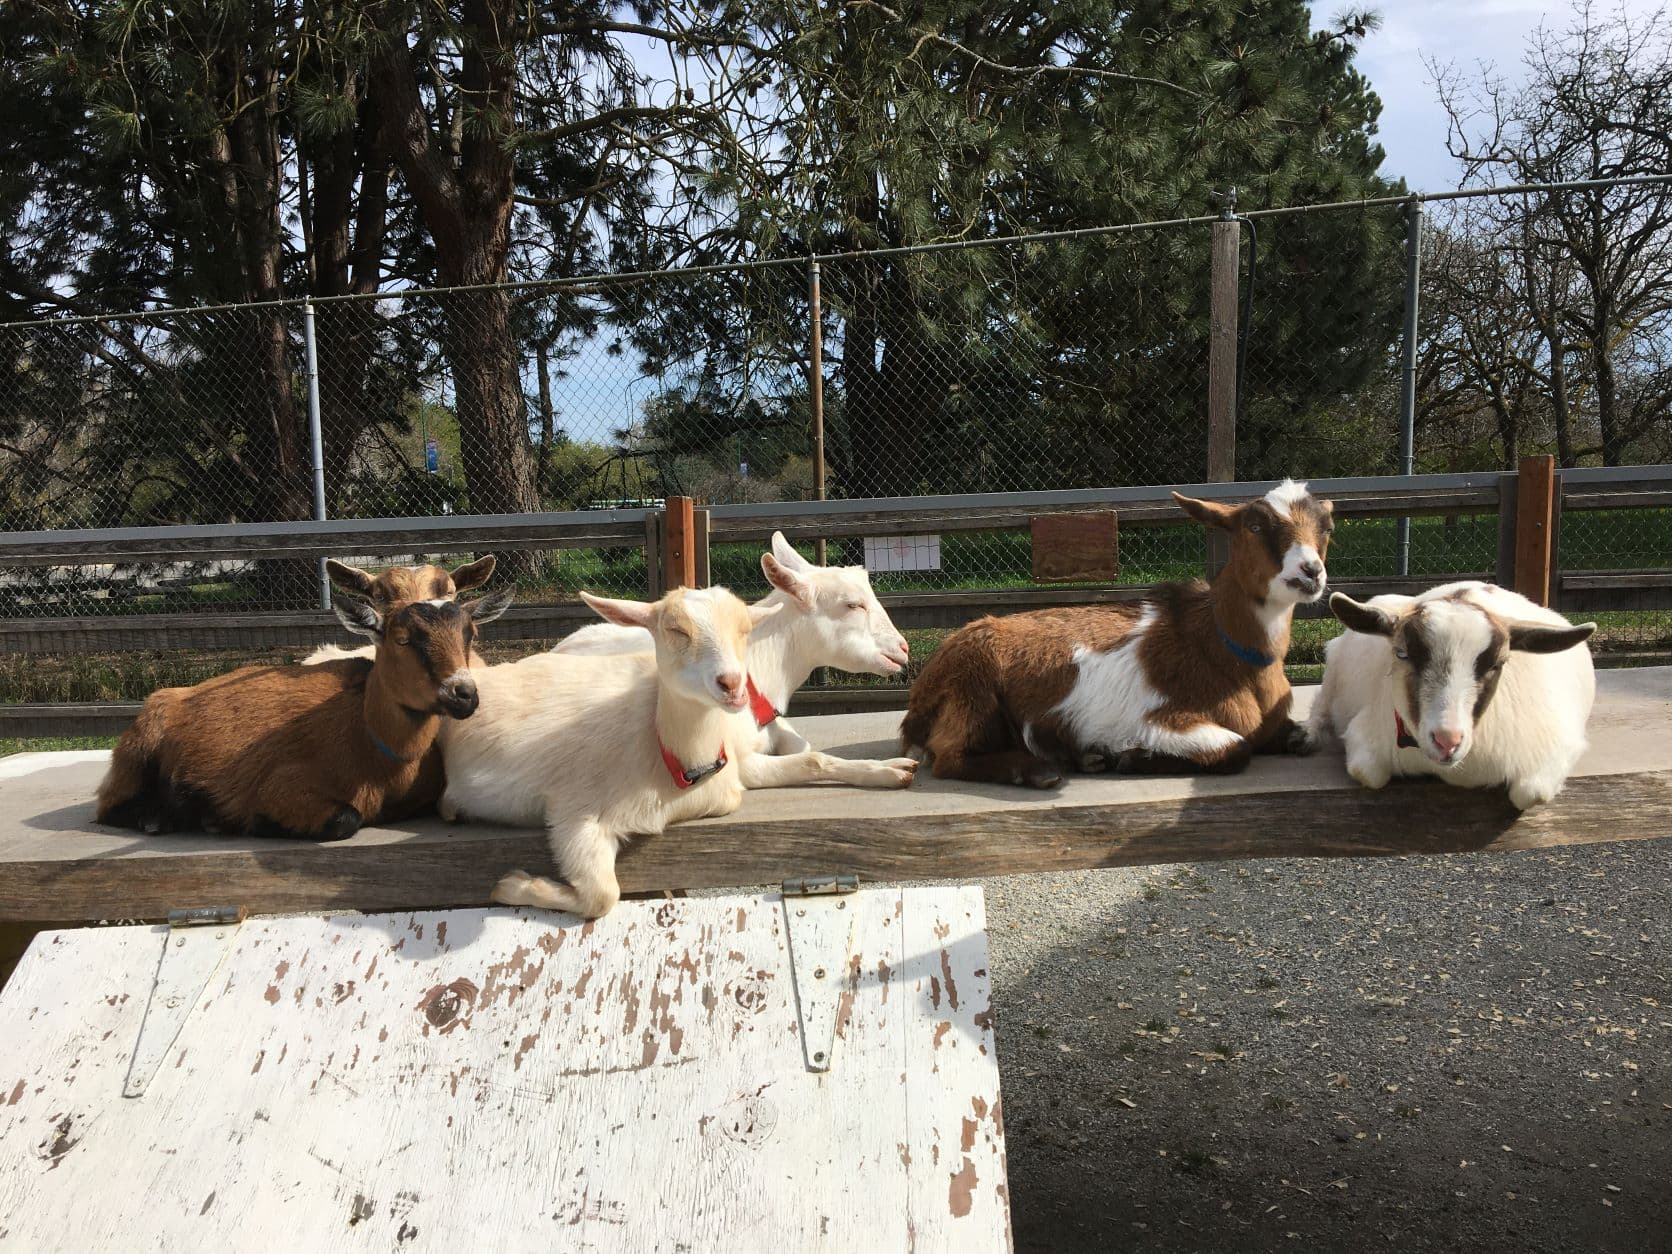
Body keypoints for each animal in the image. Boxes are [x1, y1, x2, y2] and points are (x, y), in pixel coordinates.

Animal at [95, 588, 513, 840]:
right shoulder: (282, 785)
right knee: (109, 805)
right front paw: (246, 821)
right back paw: (163, 817)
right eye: (402, 639)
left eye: (470, 635)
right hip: (140, 749)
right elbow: (346, 818)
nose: (464, 694)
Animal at [440, 586, 781, 918]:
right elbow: (603, 896)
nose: (732, 684)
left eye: (745, 630)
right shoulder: (574, 811)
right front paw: (510, 885)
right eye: (676, 630)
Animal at [555, 532, 916, 786]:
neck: (759, 677)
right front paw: (889, 771)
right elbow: (812, 760)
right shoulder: (737, 764)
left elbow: (804, 746)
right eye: (853, 604)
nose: (903, 648)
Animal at [901, 480, 1335, 787]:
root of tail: (918, 699)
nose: (1311, 571)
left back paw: (1082, 757)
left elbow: (1303, 737)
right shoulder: (1161, 718)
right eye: (1255, 525)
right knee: (949, 756)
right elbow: (1236, 748)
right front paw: (1131, 757)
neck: (1222, 649)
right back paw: (1041, 769)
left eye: (1327, 527)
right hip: (971, 686)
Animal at [1304, 580, 1596, 810]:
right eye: (1402, 653)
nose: (1448, 740)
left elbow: (1530, 794)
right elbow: (1367, 773)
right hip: (1334, 665)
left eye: (1497, 663)